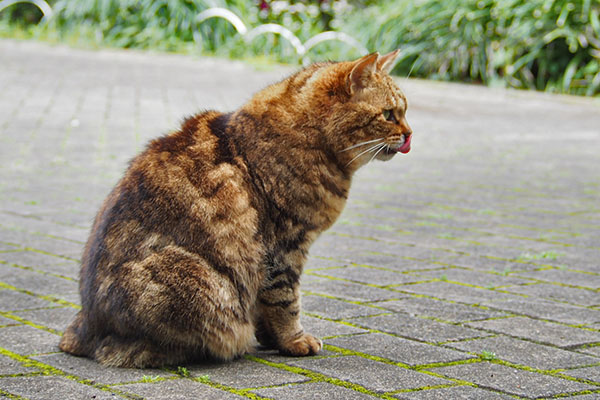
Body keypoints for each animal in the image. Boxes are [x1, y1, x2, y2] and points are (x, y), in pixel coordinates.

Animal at [57, 50, 412, 368]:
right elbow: (286, 300)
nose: (409, 133)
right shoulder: (283, 248)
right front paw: (293, 340)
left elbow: (266, 305)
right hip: (195, 278)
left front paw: (272, 338)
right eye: (388, 115)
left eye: (405, 111)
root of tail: (84, 327)